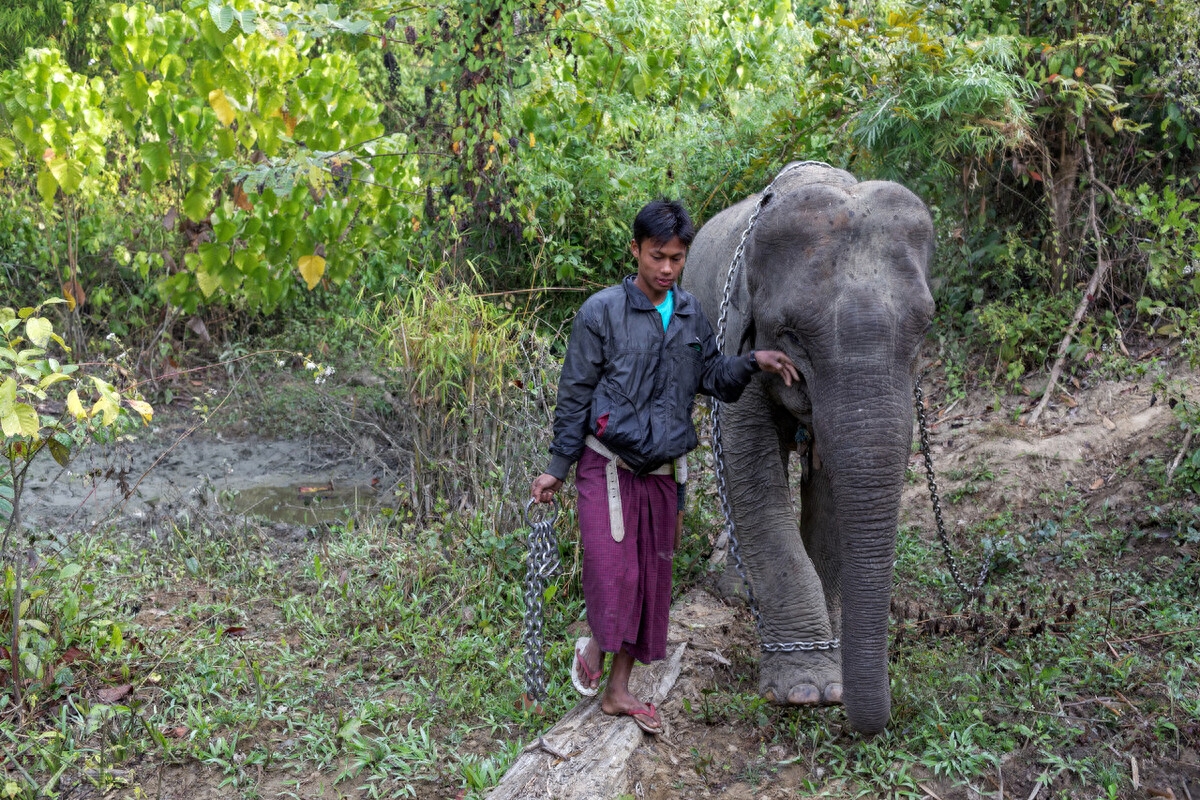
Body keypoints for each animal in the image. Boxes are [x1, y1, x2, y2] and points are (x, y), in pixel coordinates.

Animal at [681, 159, 931, 734]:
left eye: (925, 327)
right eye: (791, 335)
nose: (864, 722)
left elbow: (834, 486)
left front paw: (832, 666)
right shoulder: (736, 337)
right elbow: (750, 476)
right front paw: (806, 692)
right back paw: (736, 589)